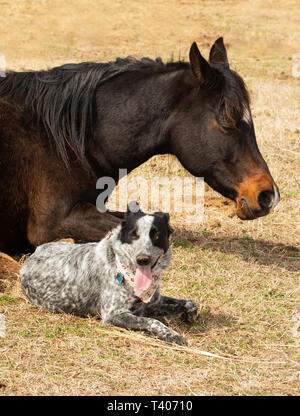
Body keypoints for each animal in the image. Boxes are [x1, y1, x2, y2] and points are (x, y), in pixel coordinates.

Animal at [20, 202, 199, 344]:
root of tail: (30, 258)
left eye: (156, 235)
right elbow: (152, 322)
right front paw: (172, 335)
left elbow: (190, 303)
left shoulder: (154, 302)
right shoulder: (113, 314)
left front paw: (189, 316)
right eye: (133, 235)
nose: (143, 259)